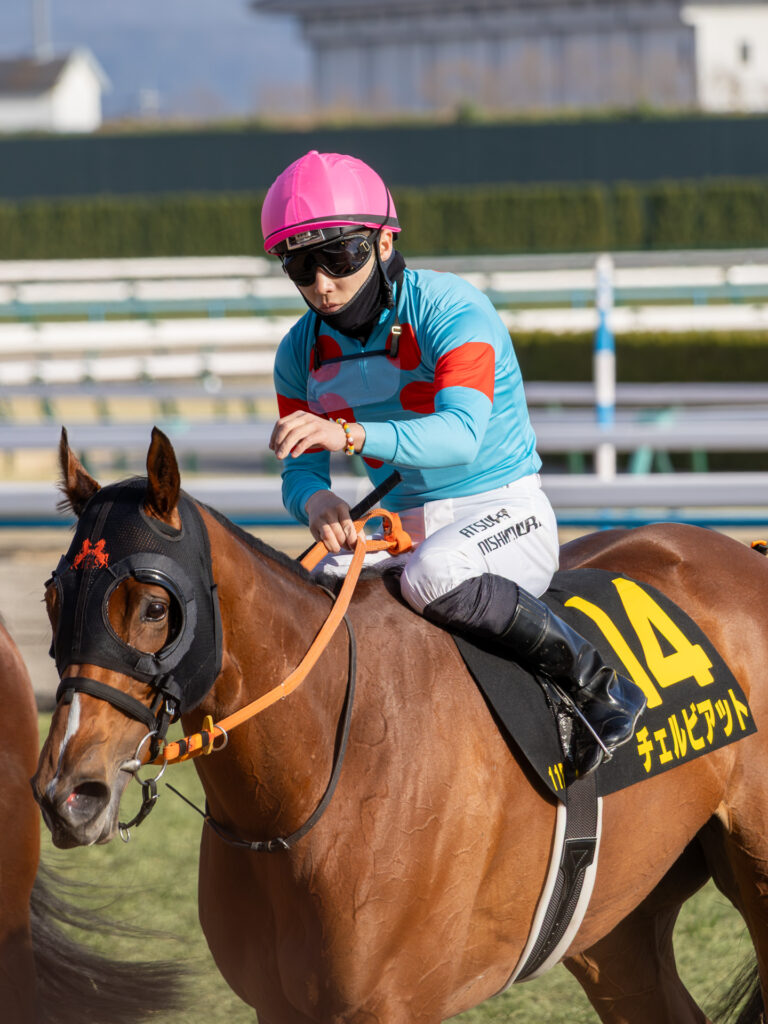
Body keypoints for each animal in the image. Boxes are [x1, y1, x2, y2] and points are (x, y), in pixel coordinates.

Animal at [32, 426, 768, 1024]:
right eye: (54, 596)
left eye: (155, 606)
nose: (69, 794)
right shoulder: (280, 1005)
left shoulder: (394, 1005)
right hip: (616, 914)